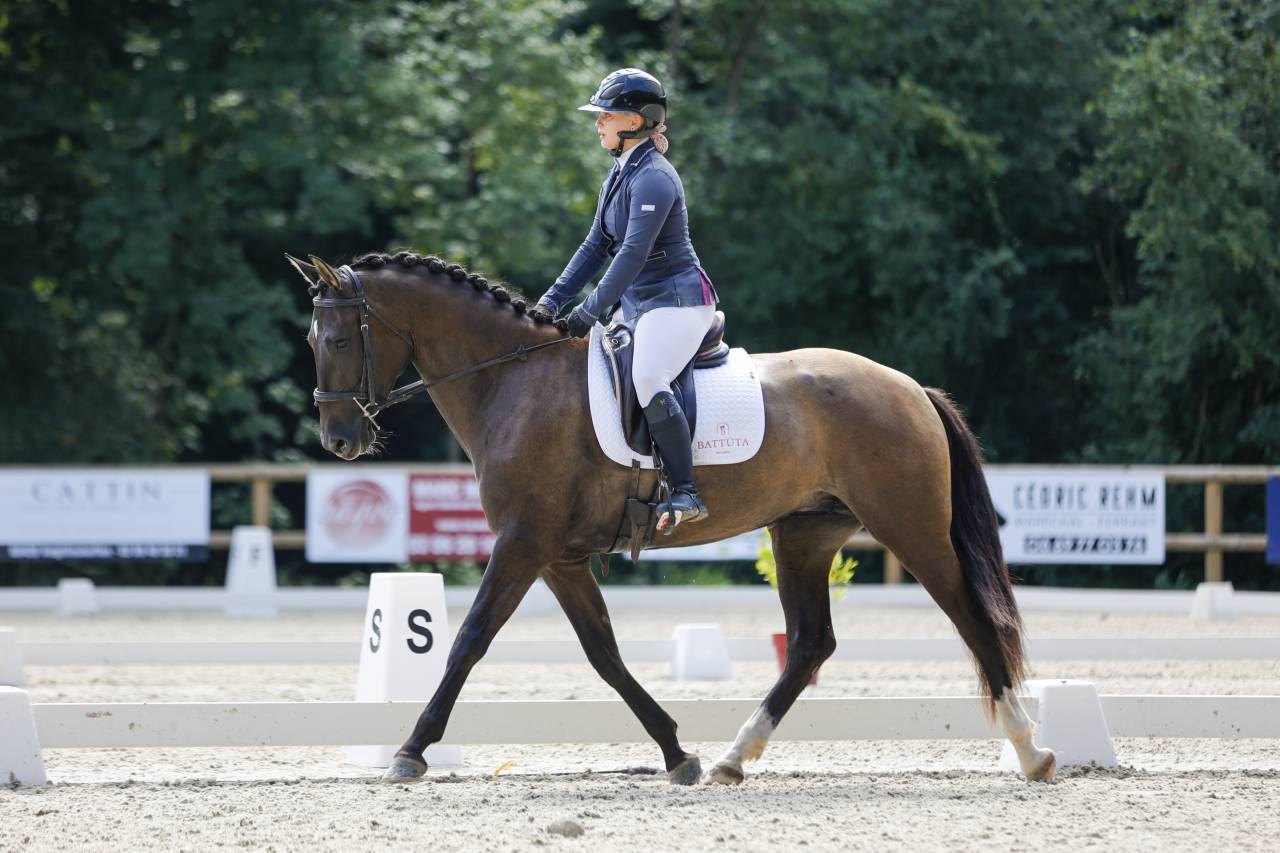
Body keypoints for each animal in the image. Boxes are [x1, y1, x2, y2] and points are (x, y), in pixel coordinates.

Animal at [288, 249, 1057, 785]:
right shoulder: (559, 554)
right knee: (810, 643)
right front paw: (676, 750)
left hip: (910, 526)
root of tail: (911, 387)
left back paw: (1032, 751)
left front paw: (410, 750)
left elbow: (470, 640)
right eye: (313, 340)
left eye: (339, 340)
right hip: (804, 534)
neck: (511, 379)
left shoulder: (523, 542)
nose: (339, 440)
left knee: (972, 618)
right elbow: (604, 653)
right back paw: (732, 757)